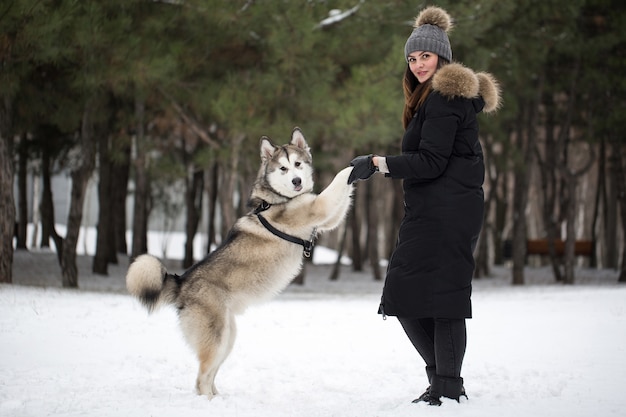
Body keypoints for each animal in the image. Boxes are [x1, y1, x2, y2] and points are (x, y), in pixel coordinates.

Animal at [125, 127, 352, 396]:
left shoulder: (327, 219)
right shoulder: (318, 207)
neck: (277, 199)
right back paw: (207, 401)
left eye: (297, 164)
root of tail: (182, 282)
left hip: (228, 336)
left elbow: (341, 201)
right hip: (217, 337)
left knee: (210, 375)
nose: (297, 181)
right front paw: (355, 165)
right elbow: (337, 182)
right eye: (283, 169)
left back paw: (219, 398)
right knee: (201, 379)